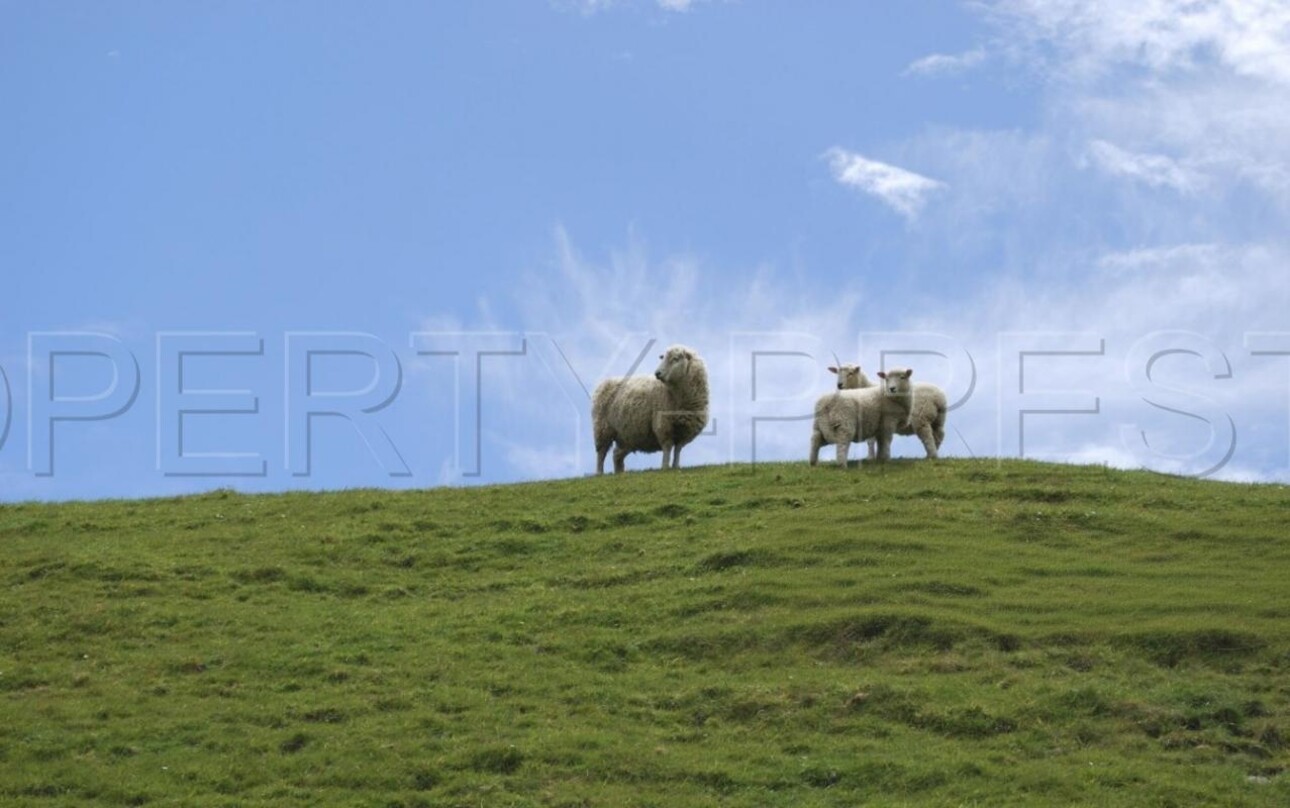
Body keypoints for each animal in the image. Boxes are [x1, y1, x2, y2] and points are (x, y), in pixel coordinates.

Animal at [590, 343, 712, 472]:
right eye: (663, 358)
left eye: (675, 359)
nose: (657, 373)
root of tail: (605, 382)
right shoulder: (664, 425)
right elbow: (667, 447)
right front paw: (665, 468)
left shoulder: (686, 430)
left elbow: (678, 450)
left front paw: (675, 467)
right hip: (603, 428)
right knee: (601, 453)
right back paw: (599, 473)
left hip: (627, 435)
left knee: (616, 454)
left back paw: (620, 473)